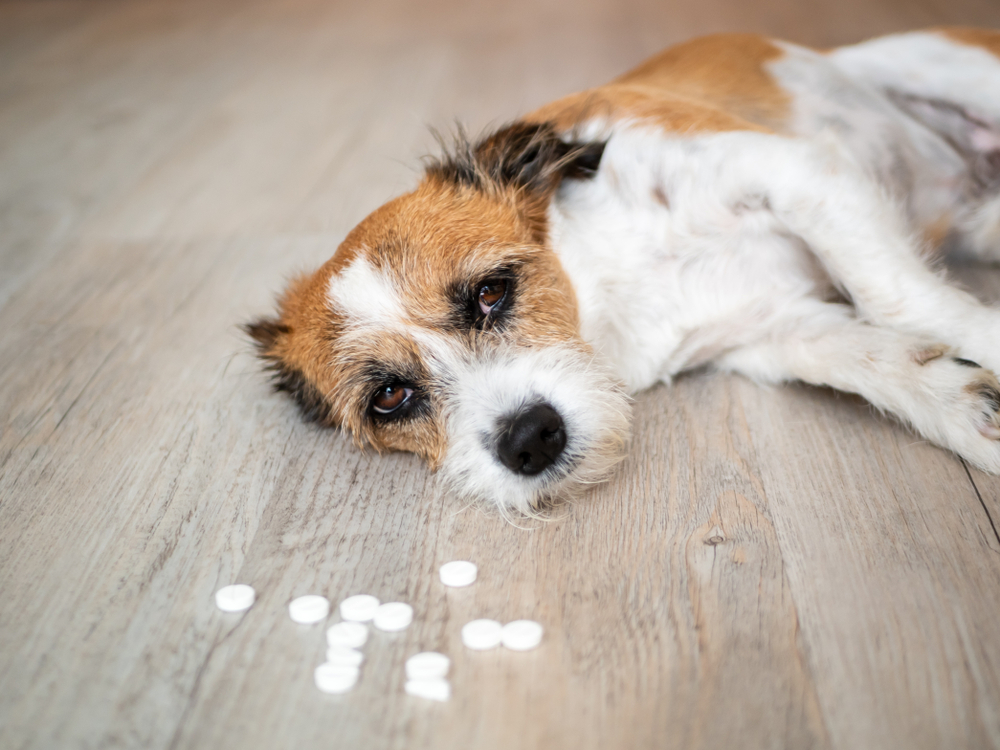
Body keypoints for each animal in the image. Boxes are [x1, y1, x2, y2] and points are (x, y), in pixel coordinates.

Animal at [246, 26, 1000, 516]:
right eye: (390, 398)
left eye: (491, 292)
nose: (530, 440)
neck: (605, 284)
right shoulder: (774, 331)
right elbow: (875, 358)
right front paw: (971, 409)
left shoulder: (790, 172)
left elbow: (898, 297)